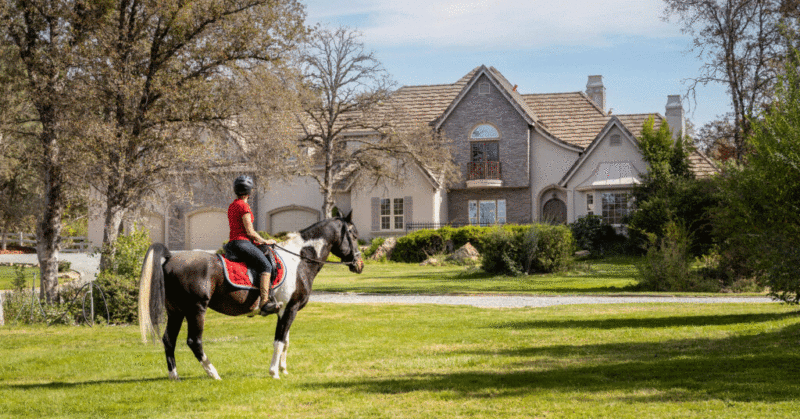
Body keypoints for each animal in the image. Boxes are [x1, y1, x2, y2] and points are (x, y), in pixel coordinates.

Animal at [138, 213, 362, 380]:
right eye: (354, 235)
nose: (360, 265)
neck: (299, 260)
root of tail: (170, 258)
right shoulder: (289, 308)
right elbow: (279, 340)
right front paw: (274, 372)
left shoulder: (286, 310)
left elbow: (285, 340)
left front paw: (283, 369)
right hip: (196, 309)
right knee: (194, 341)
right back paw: (213, 373)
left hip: (175, 311)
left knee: (169, 340)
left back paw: (174, 376)